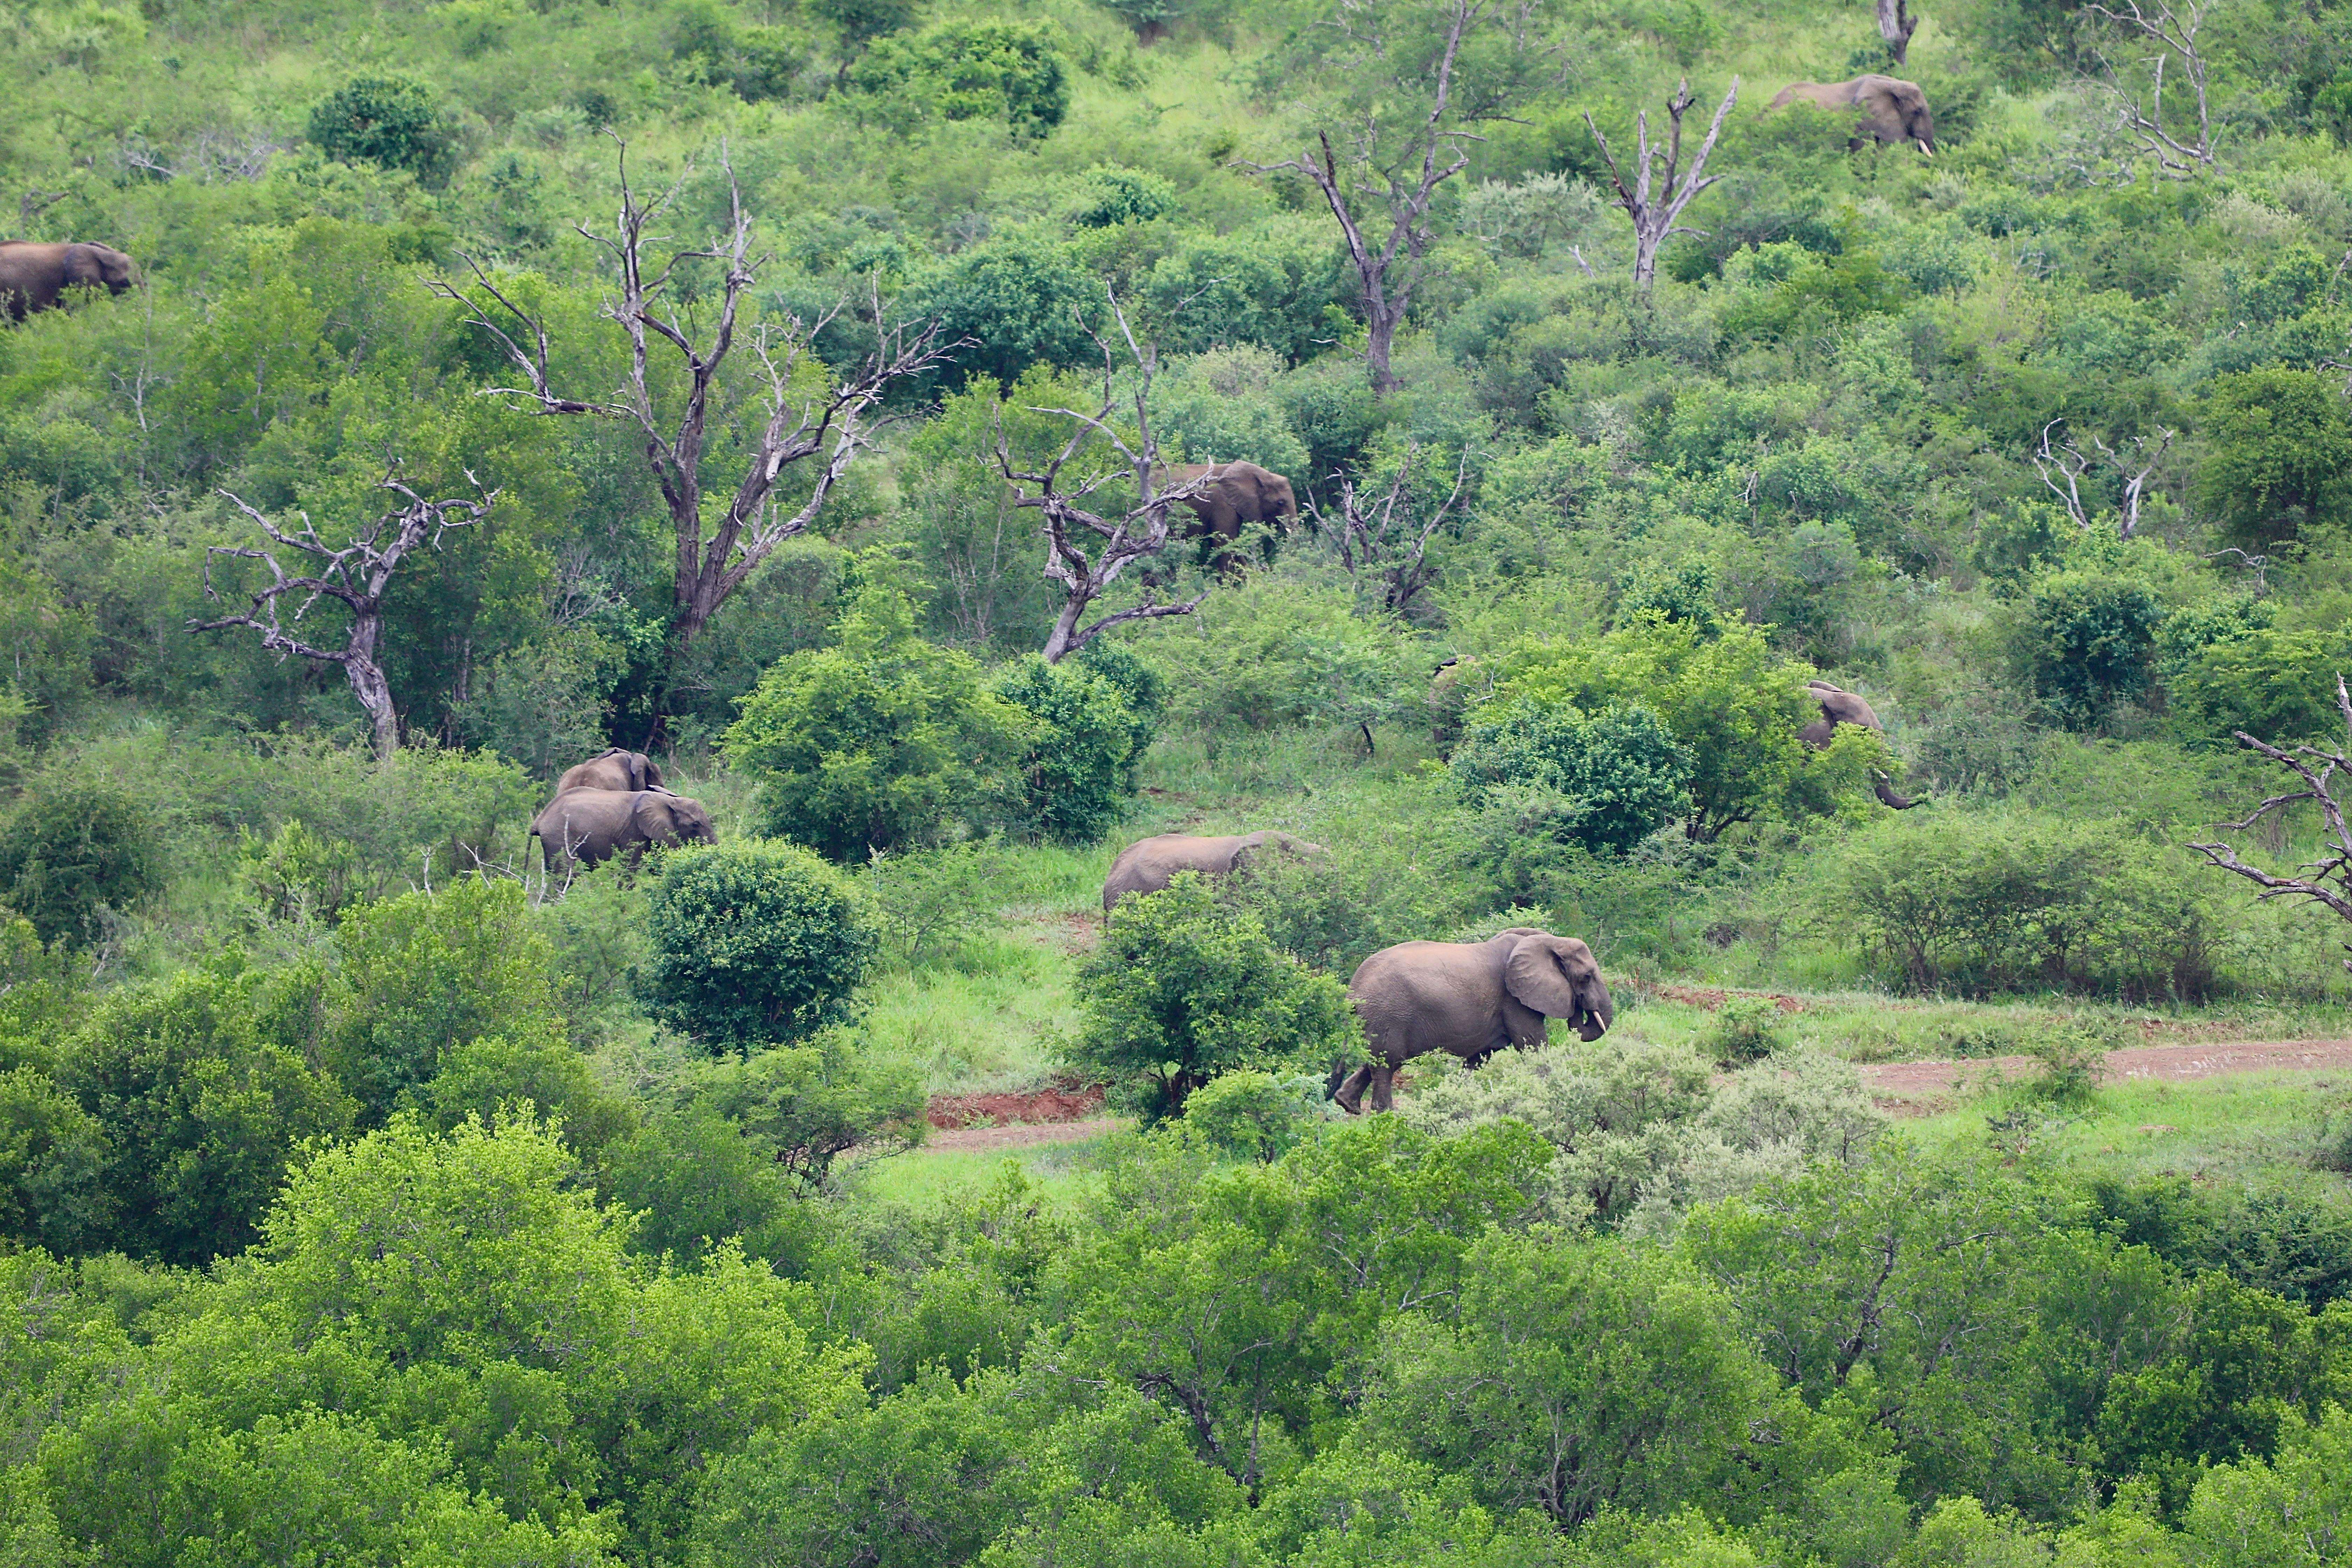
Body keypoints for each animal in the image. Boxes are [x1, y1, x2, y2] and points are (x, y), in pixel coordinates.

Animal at [531, 788, 715, 874]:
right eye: (695, 825)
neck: (670, 801)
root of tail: (539, 820)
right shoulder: (634, 831)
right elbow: (630, 868)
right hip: (559, 837)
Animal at [1337, 928, 1614, 1114]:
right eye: (1587, 977)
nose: (1580, 1007)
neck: (1550, 942)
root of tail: (1353, 989)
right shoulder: (1513, 1000)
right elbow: (1532, 1044)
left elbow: (1479, 1057)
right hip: (1387, 1014)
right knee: (1387, 1062)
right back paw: (1387, 1115)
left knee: (1380, 1060)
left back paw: (1348, 1105)